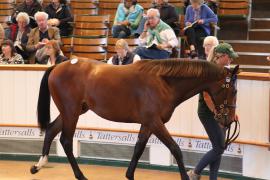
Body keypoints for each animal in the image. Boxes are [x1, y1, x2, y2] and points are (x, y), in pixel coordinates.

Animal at [30, 58, 239, 179]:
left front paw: (129, 175)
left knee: (51, 130)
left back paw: (38, 165)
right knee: (66, 141)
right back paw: (80, 176)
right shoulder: (155, 122)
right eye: (234, 91)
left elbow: (139, 148)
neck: (164, 82)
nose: (228, 120)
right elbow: (175, 149)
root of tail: (58, 65)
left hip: (73, 111)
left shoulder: (147, 124)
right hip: (71, 112)